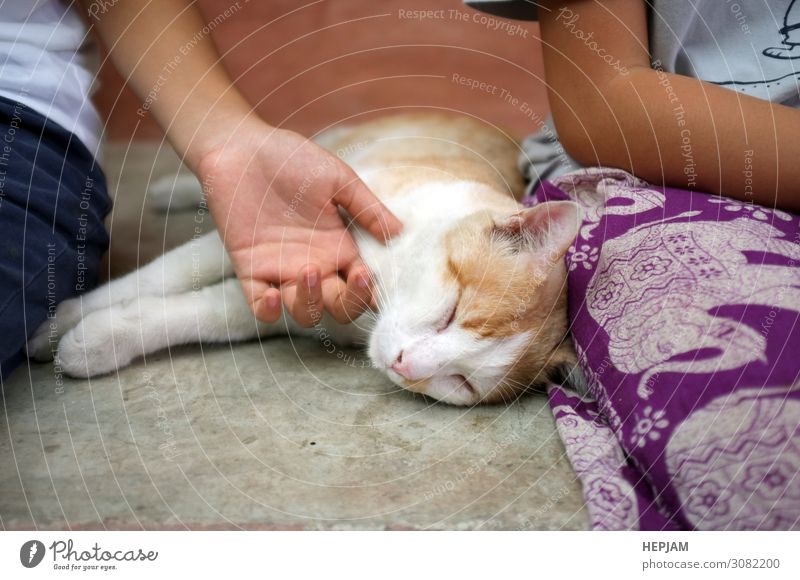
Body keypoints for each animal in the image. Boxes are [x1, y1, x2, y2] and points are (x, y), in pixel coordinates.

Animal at [28, 112, 584, 404]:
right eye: (451, 314)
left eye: (462, 382)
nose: (404, 365)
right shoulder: (287, 229)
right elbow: (159, 276)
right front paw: (62, 318)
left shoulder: (296, 299)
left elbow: (205, 315)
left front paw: (95, 340)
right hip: (324, 151)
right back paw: (177, 190)